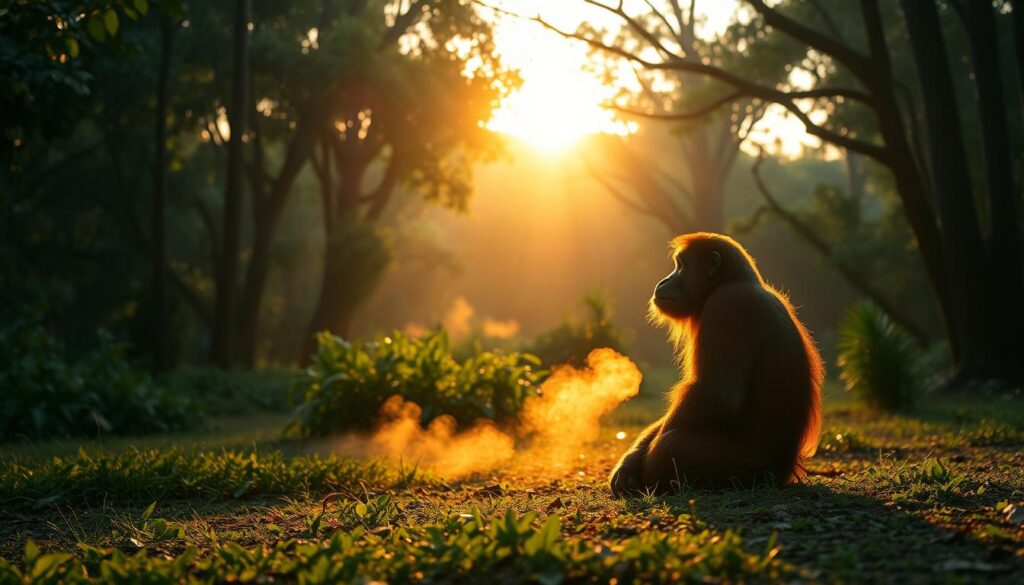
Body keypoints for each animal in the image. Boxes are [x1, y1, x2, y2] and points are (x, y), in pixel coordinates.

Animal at [609, 233, 822, 495]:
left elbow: (716, 397)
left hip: (744, 470)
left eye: (681, 266)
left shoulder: (725, 306)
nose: (664, 280)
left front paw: (639, 464)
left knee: (669, 447)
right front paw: (630, 462)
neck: (727, 283)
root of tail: (785, 472)